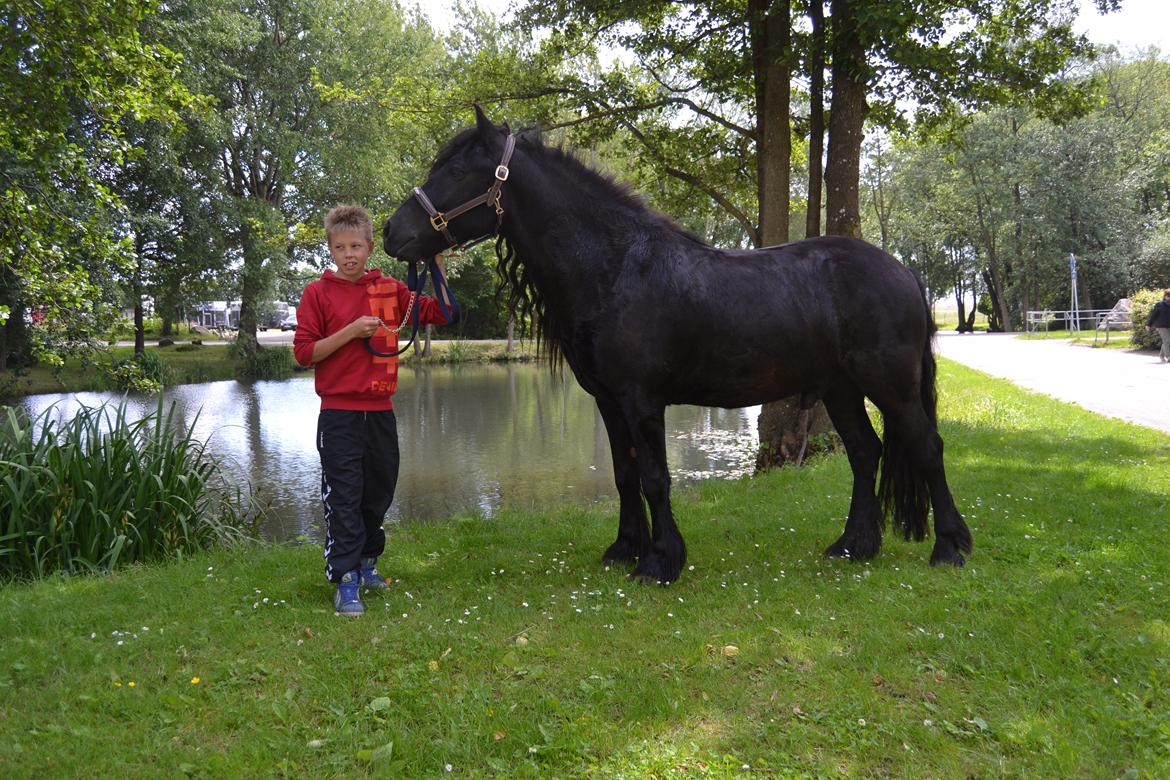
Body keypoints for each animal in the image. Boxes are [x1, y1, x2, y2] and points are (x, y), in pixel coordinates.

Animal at [382, 106, 973, 584]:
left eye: (459, 172)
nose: (392, 232)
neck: (616, 267)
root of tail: (904, 272)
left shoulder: (642, 400)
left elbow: (655, 478)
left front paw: (661, 561)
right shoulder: (608, 401)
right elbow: (624, 475)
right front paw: (624, 549)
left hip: (891, 387)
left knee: (926, 447)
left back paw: (949, 548)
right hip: (841, 389)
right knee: (865, 451)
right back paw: (854, 545)